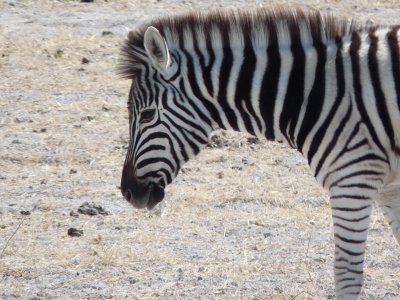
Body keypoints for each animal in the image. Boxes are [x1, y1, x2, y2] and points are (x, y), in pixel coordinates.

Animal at [117, 7, 400, 300]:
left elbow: (346, 275)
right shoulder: (387, 188)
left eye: (147, 115)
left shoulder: (351, 181)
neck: (314, 93)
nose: (127, 191)